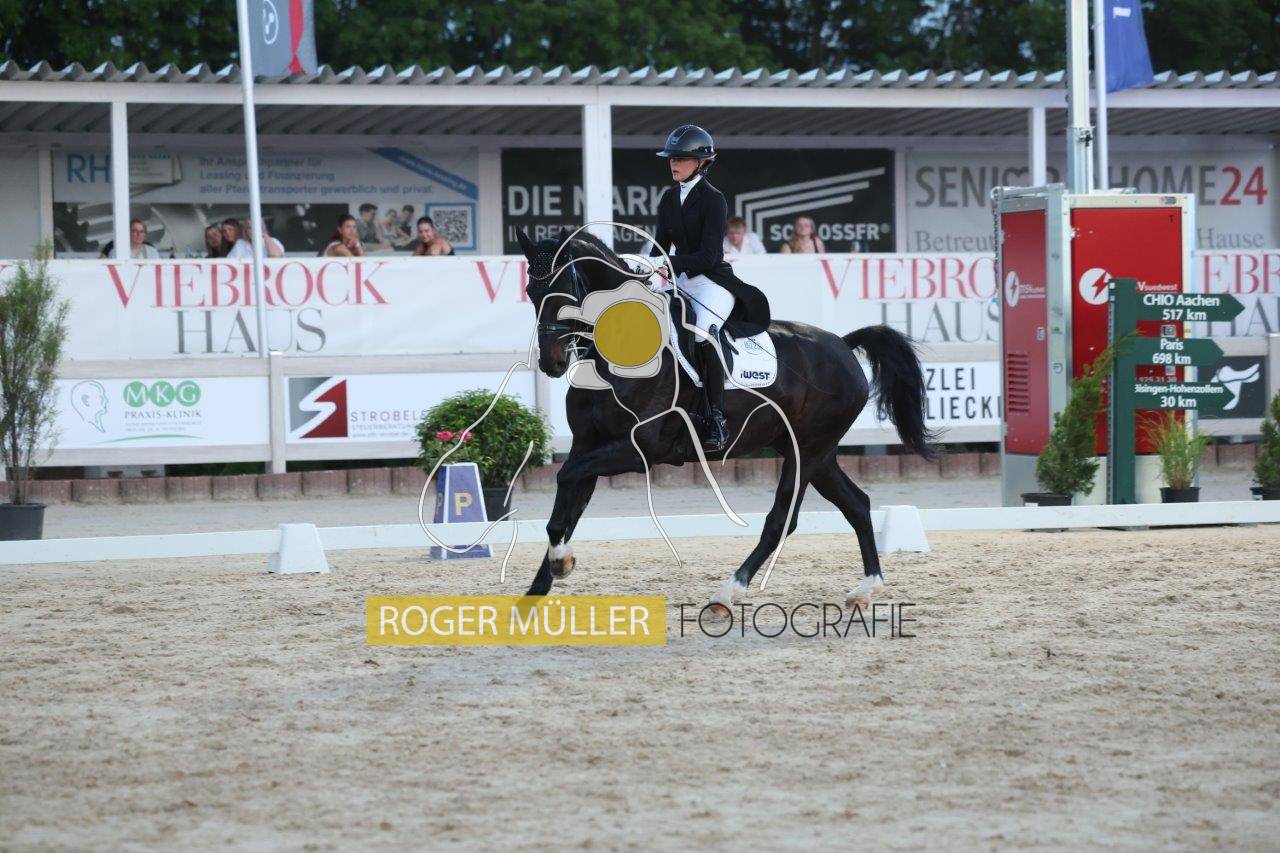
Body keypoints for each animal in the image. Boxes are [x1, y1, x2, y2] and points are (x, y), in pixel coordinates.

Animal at [515, 227, 935, 613]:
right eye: (532, 293)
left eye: (564, 291)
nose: (551, 364)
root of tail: (844, 346)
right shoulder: (589, 445)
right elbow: (564, 512)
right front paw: (536, 591)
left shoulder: (639, 450)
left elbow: (564, 480)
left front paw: (562, 563)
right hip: (817, 452)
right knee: (857, 504)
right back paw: (866, 588)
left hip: (808, 451)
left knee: (782, 520)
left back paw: (726, 593)